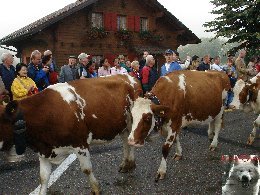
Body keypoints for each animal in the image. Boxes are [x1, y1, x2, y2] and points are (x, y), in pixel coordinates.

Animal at [0, 74, 142, 194]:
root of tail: (129, 76)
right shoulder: (43, 150)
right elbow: (43, 177)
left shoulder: (80, 144)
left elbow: (86, 169)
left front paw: (96, 189)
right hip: (122, 125)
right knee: (125, 142)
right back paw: (126, 164)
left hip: (132, 122)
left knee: (131, 141)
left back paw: (131, 163)